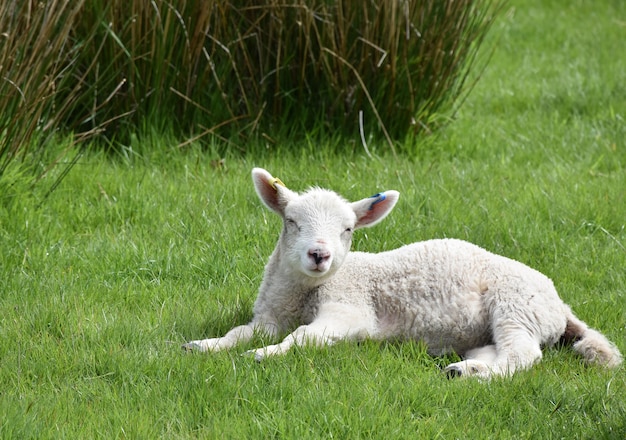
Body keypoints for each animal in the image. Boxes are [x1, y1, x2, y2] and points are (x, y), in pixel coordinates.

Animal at [182, 168, 620, 378]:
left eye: (348, 229)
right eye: (291, 221)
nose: (319, 254)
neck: (306, 291)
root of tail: (560, 306)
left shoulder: (350, 311)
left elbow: (303, 337)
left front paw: (264, 355)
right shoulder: (270, 316)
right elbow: (238, 333)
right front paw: (203, 346)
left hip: (515, 305)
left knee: (523, 355)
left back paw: (480, 377)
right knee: (496, 351)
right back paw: (463, 370)